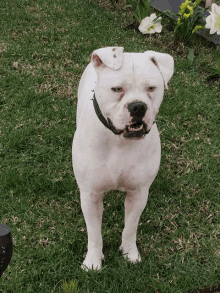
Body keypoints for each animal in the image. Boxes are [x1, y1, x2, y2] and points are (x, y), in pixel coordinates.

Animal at [72, 46, 174, 270]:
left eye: (151, 88)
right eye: (117, 89)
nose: (138, 106)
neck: (118, 140)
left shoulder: (138, 193)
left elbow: (130, 228)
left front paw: (129, 253)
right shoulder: (90, 195)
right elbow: (94, 234)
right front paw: (93, 261)